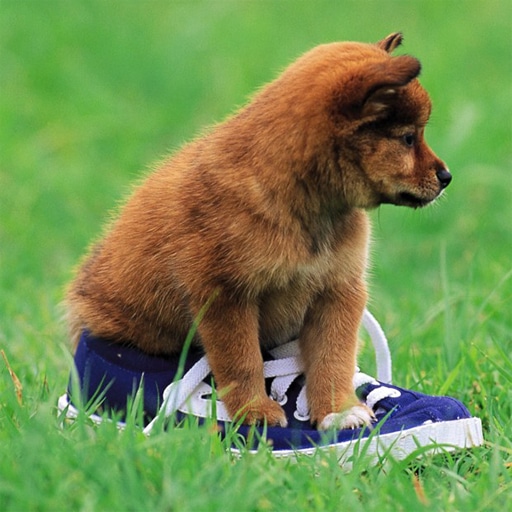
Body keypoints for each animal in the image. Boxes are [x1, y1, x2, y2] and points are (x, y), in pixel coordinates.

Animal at [66, 33, 450, 432]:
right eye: (408, 138)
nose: (447, 176)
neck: (303, 203)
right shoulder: (227, 297)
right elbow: (242, 361)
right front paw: (253, 413)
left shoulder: (337, 291)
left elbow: (333, 358)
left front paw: (338, 411)